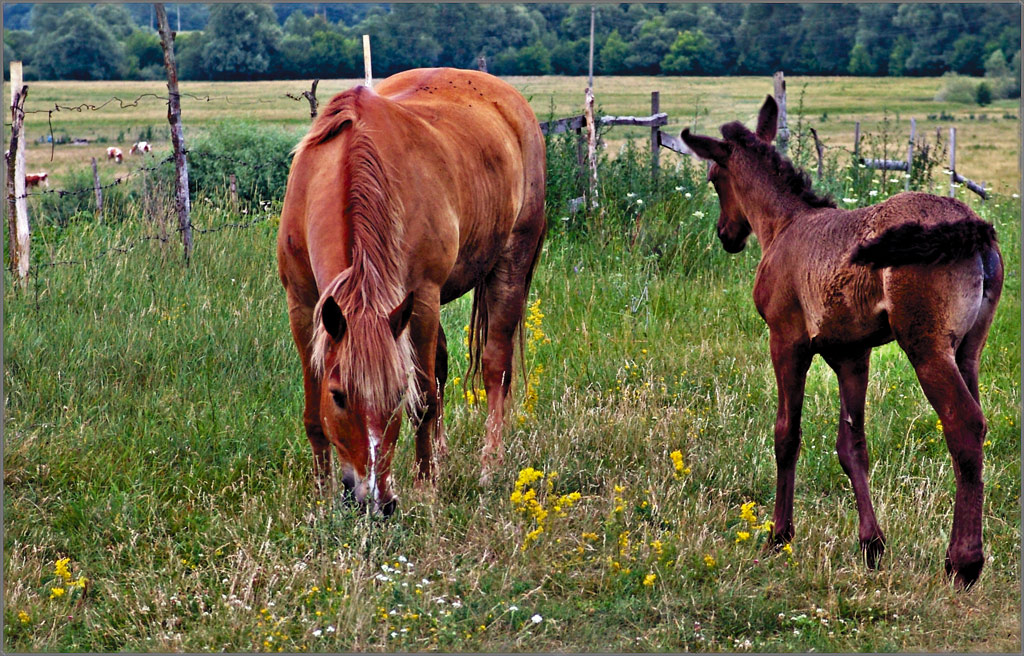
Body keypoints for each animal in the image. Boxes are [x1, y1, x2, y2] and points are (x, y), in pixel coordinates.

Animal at [276, 69, 548, 513]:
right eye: (339, 395)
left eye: (396, 393)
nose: (376, 502)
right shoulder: (302, 304)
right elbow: (313, 413)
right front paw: (319, 495)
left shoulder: (421, 297)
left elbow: (424, 401)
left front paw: (425, 489)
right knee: (442, 366)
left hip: (508, 265)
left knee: (495, 368)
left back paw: (488, 466)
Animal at [684, 93, 1003, 589]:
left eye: (715, 179)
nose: (726, 235)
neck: (784, 225)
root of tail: (973, 225)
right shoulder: (851, 353)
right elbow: (852, 446)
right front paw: (871, 545)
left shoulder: (787, 340)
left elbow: (787, 434)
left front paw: (778, 536)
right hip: (968, 349)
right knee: (976, 423)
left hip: (927, 346)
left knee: (963, 425)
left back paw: (963, 561)